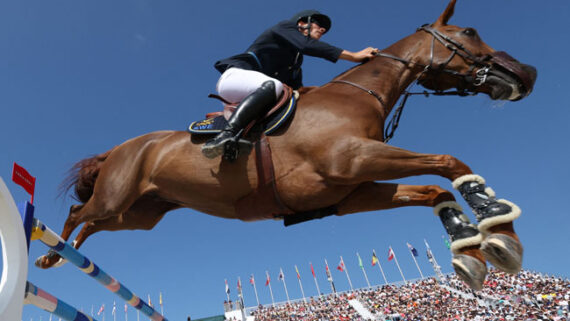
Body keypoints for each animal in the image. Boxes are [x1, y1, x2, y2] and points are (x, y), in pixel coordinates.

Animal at [35, 0, 532, 290]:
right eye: (469, 33)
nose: (526, 73)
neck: (357, 96)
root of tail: (121, 148)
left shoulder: (351, 192)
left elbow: (434, 190)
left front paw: (473, 247)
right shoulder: (353, 160)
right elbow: (449, 161)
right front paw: (496, 224)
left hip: (140, 215)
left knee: (94, 225)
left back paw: (61, 255)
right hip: (116, 195)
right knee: (79, 212)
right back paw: (50, 253)